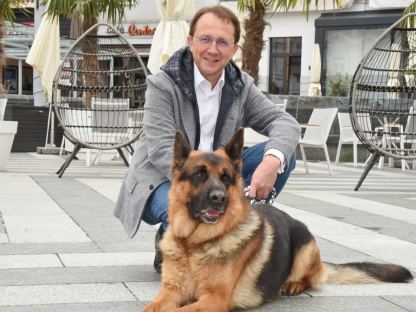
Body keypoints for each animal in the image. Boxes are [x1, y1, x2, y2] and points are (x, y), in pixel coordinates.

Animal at [142, 128, 412, 310]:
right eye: (199, 174)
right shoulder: (171, 291)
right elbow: (150, 308)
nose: (219, 198)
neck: (193, 244)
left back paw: (293, 284)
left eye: (226, 177)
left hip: (305, 248)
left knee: (311, 279)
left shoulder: (213, 299)